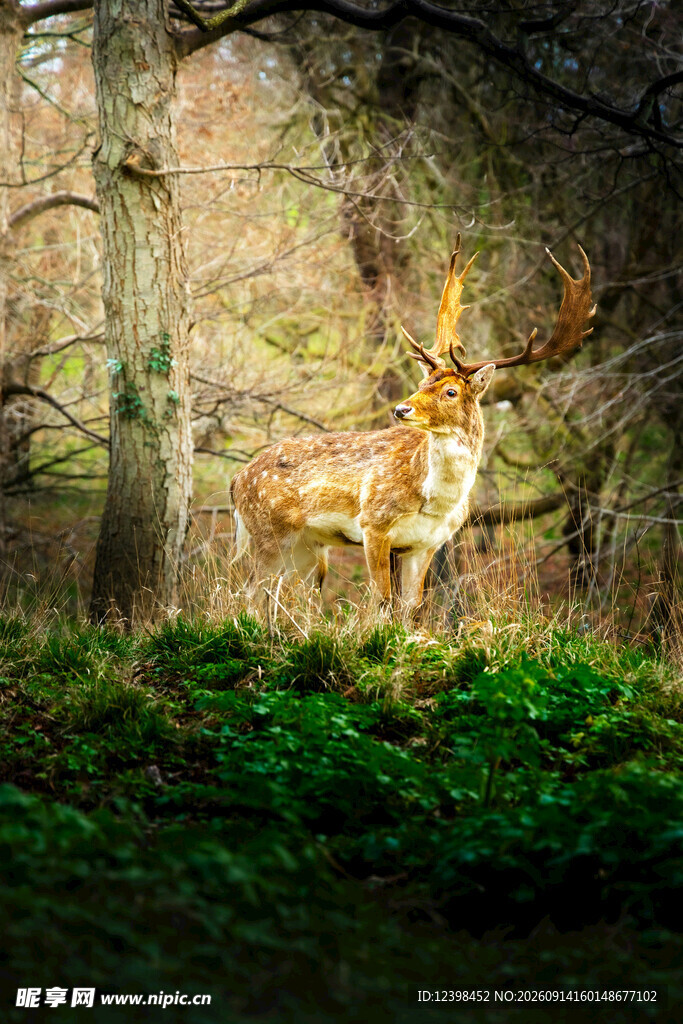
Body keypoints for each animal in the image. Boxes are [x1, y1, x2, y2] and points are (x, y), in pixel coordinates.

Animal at [231, 237, 595, 611]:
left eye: (450, 391)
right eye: (422, 383)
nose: (401, 409)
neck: (436, 503)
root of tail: (238, 479)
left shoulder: (427, 544)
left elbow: (410, 607)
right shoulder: (374, 524)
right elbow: (381, 601)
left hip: (306, 546)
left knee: (276, 594)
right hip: (268, 532)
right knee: (249, 593)